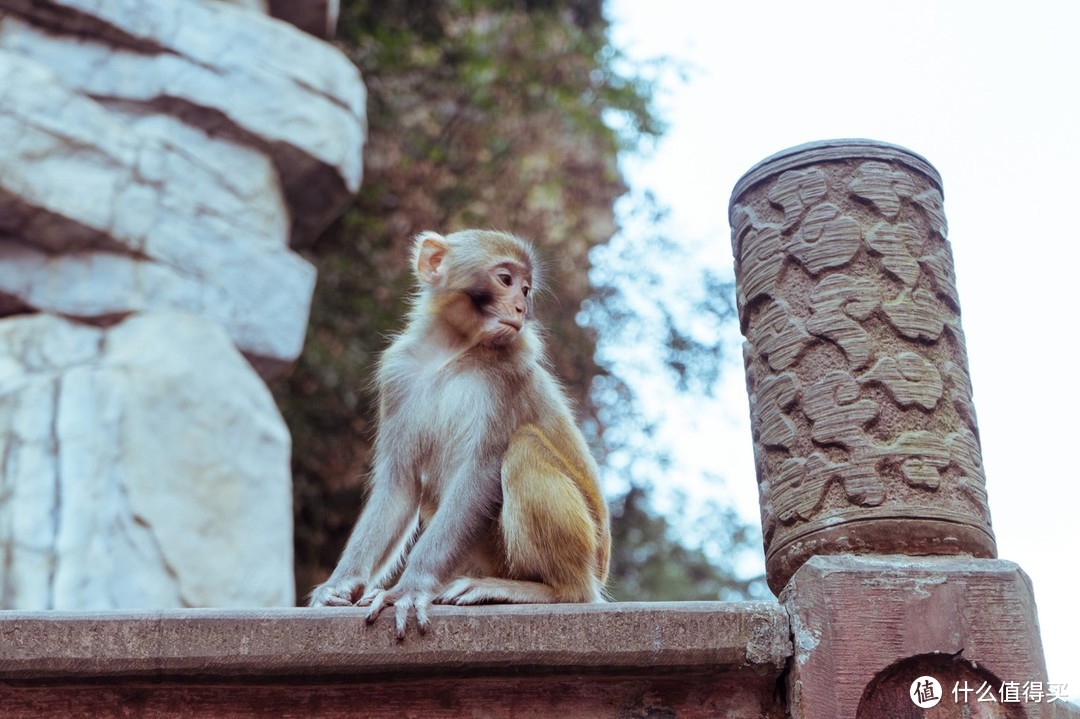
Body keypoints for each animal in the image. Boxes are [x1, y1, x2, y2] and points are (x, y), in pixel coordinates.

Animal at [308, 226, 613, 634]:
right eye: (506, 280)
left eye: (526, 290)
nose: (521, 308)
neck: (452, 352)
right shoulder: (397, 374)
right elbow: (399, 483)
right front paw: (340, 584)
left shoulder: (508, 378)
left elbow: (479, 476)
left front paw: (411, 586)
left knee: (523, 447)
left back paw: (553, 590)